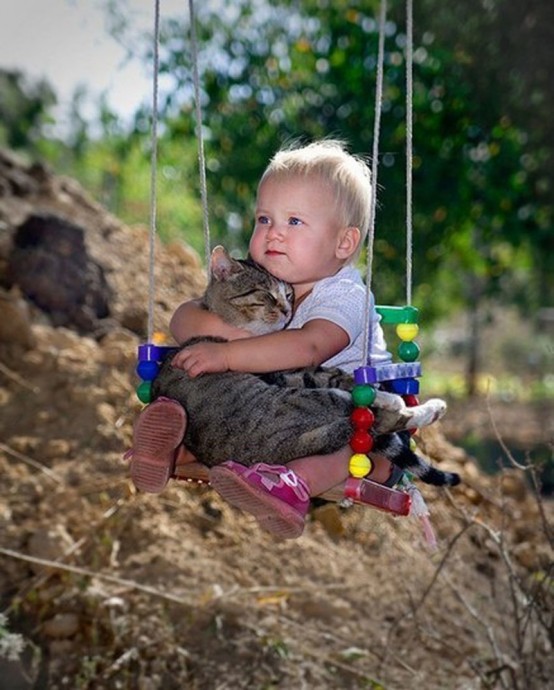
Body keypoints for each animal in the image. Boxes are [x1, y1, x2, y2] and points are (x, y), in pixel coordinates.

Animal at [151, 245, 458, 486]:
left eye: (288, 295)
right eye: (265, 294)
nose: (288, 310)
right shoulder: (286, 373)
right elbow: (338, 376)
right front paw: (388, 396)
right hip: (313, 401)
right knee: (378, 418)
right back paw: (420, 406)